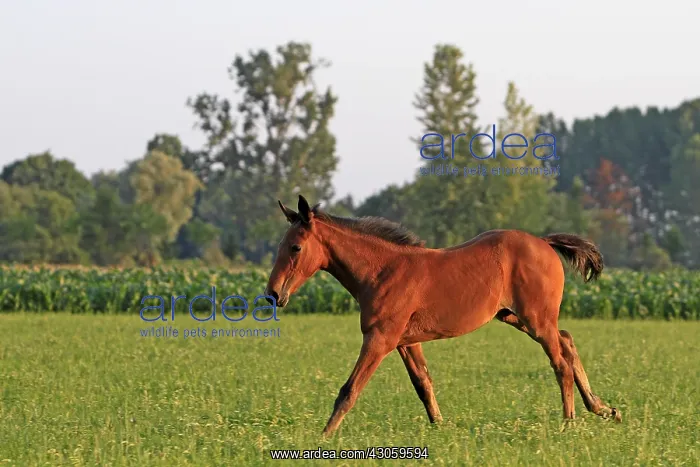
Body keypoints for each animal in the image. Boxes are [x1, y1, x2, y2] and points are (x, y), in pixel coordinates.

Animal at [264, 195, 621, 437]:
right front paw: (440, 427)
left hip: (536, 318)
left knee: (560, 361)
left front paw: (322, 438)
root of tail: (544, 242)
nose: (273, 294)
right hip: (514, 316)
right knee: (568, 341)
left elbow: (349, 390)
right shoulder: (405, 342)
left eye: (295, 247)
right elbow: (423, 383)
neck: (382, 271)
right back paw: (605, 409)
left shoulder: (380, 339)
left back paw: (569, 423)